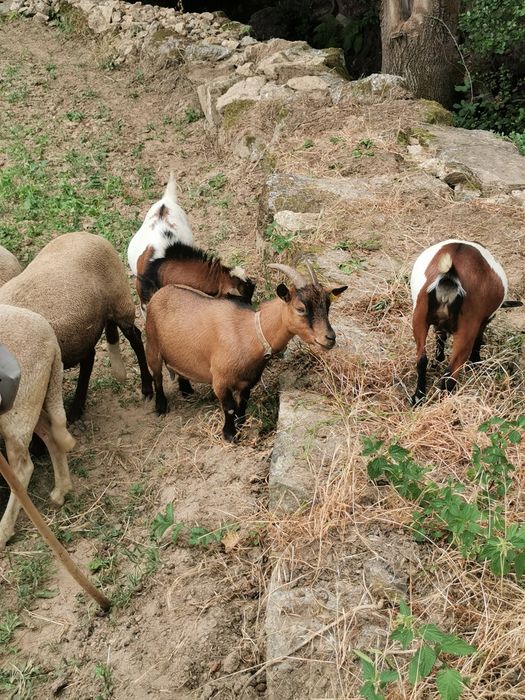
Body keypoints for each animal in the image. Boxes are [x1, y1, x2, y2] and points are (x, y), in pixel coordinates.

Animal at [0, 233, 153, 422]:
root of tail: (88, 235)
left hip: (120, 302)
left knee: (136, 339)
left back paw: (147, 388)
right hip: (82, 331)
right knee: (89, 357)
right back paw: (77, 407)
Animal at [0, 304, 75, 548]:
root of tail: (50, 337)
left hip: (18, 408)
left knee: (22, 470)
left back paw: (3, 532)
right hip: (33, 397)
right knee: (51, 431)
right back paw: (61, 490)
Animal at [145, 263, 347, 442]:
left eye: (327, 306)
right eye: (300, 308)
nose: (330, 338)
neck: (251, 333)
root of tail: (161, 292)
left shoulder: (249, 380)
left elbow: (242, 404)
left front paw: (240, 424)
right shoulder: (220, 381)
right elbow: (229, 407)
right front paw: (230, 435)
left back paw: (187, 390)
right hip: (152, 344)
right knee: (156, 375)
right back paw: (161, 406)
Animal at [410, 239, 521, 404]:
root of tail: (450, 275)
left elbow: (440, 335)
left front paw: (438, 359)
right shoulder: (481, 322)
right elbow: (478, 340)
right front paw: (475, 362)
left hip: (419, 317)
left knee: (422, 360)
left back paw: (419, 397)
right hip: (466, 328)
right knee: (451, 372)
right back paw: (447, 399)